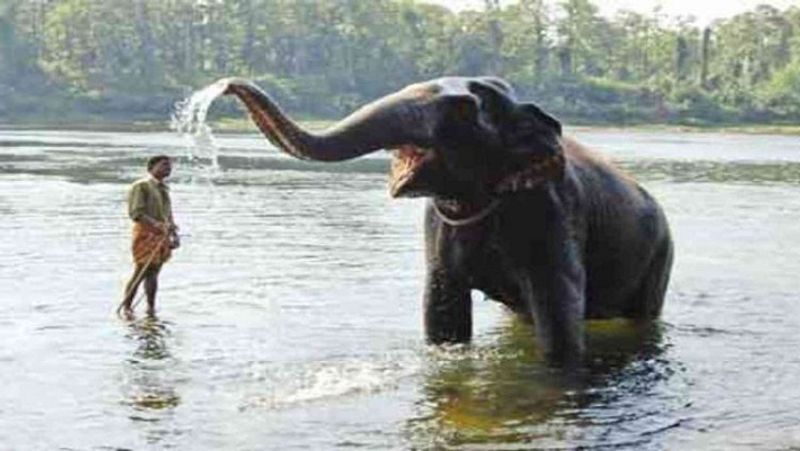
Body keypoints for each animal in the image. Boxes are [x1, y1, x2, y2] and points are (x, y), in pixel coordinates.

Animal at [220, 77, 676, 368]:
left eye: (461, 109)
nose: (226, 85)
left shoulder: (554, 216)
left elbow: (558, 312)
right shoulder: (438, 230)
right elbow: (442, 310)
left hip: (661, 258)